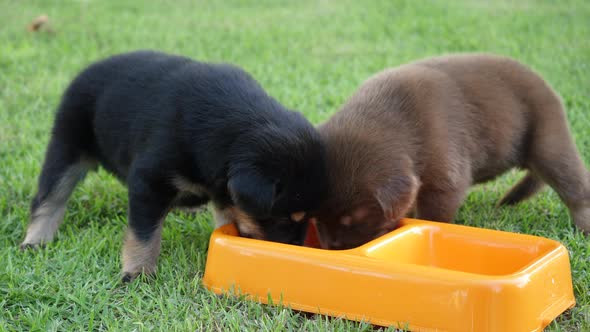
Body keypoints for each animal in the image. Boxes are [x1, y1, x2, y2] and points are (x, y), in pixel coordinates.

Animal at [20, 50, 328, 282]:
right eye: (285, 218)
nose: (294, 250)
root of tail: (87, 69)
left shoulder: (222, 189)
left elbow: (228, 215)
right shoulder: (148, 181)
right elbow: (144, 233)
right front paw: (138, 271)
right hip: (67, 142)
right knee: (50, 195)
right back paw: (36, 239)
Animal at [316, 52, 590, 249]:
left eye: (353, 219)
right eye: (316, 215)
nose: (332, 247)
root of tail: (545, 84)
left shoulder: (444, 176)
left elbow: (435, 211)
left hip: (548, 136)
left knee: (572, 184)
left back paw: (583, 225)